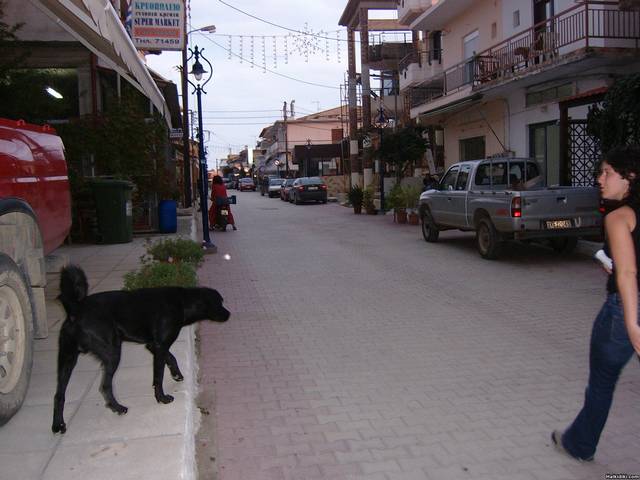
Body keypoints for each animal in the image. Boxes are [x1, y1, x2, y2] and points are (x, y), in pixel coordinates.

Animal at [52, 264, 230, 434]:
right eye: (219, 303)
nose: (229, 314)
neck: (182, 302)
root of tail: (75, 310)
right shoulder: (160, 346)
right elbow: (158, 376)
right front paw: (161, 398)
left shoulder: (154, 345)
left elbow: (171, 357)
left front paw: (176, 374)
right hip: (112, 353)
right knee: (105, 386)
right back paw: (118, 408)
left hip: (67, 359)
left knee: (59, 394)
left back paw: (58, 425)